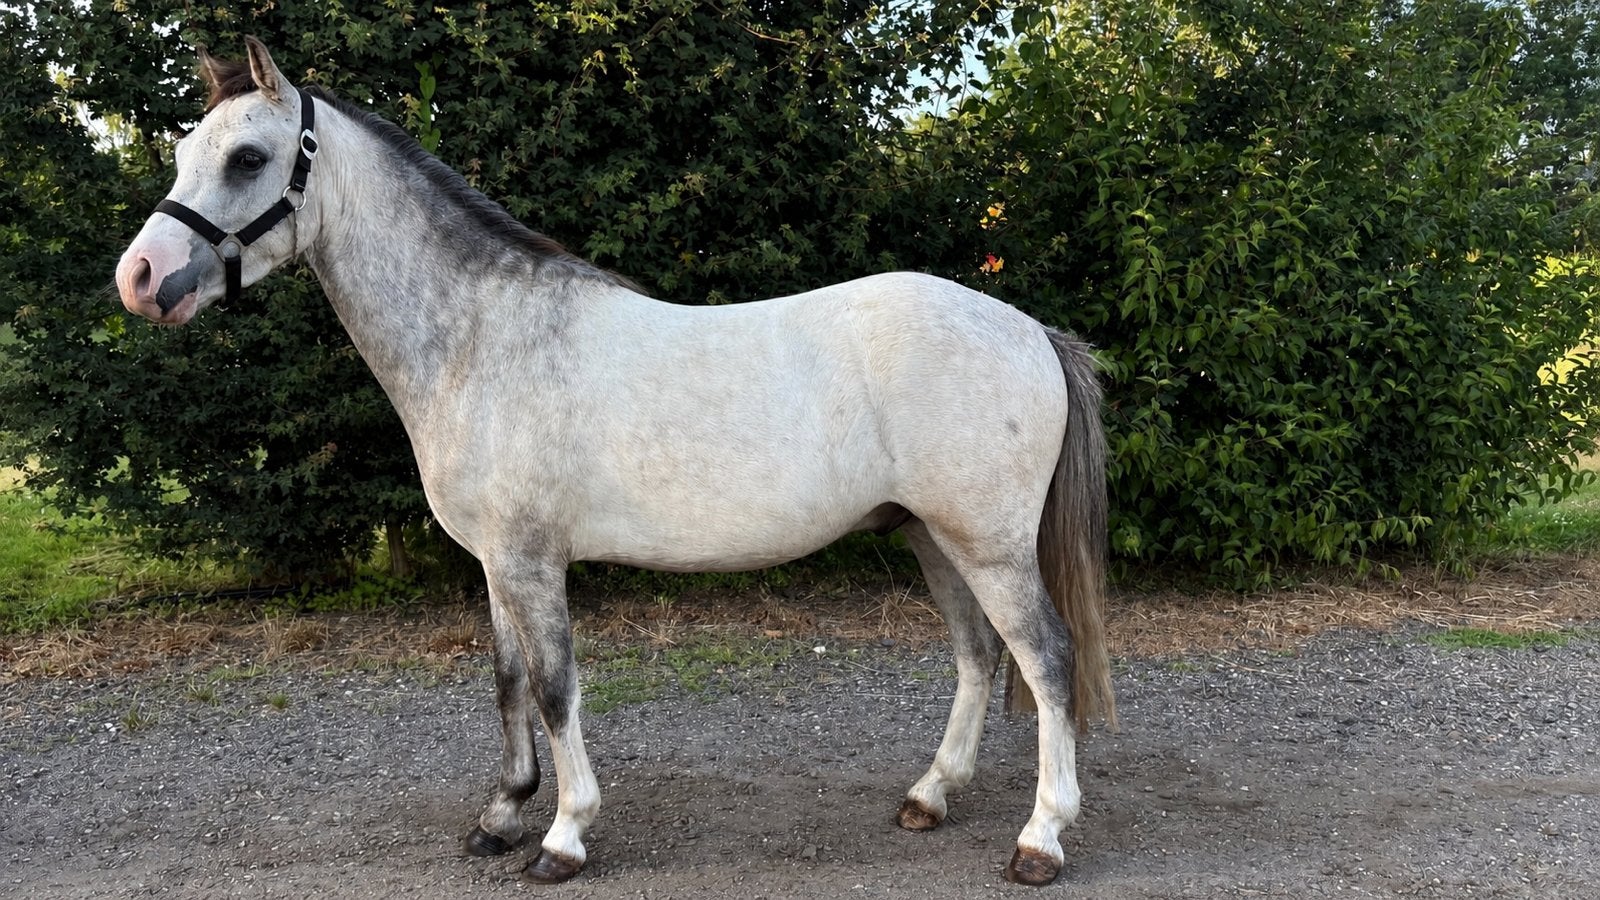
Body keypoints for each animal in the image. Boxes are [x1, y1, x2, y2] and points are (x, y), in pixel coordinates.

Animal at [114, 38, 1116, 886]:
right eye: (185, 151)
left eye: (248, 158)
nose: (139, 279)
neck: (482, 338)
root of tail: (1030, 329)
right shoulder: (497, 563)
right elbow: (510, 681)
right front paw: (501, 817)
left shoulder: (532, 561)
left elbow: (558, 690)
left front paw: (562, 836)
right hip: (929, 536)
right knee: (979, 657)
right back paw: (930, 797)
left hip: (986, 545)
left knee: (1046, 660)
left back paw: (1041, 840)